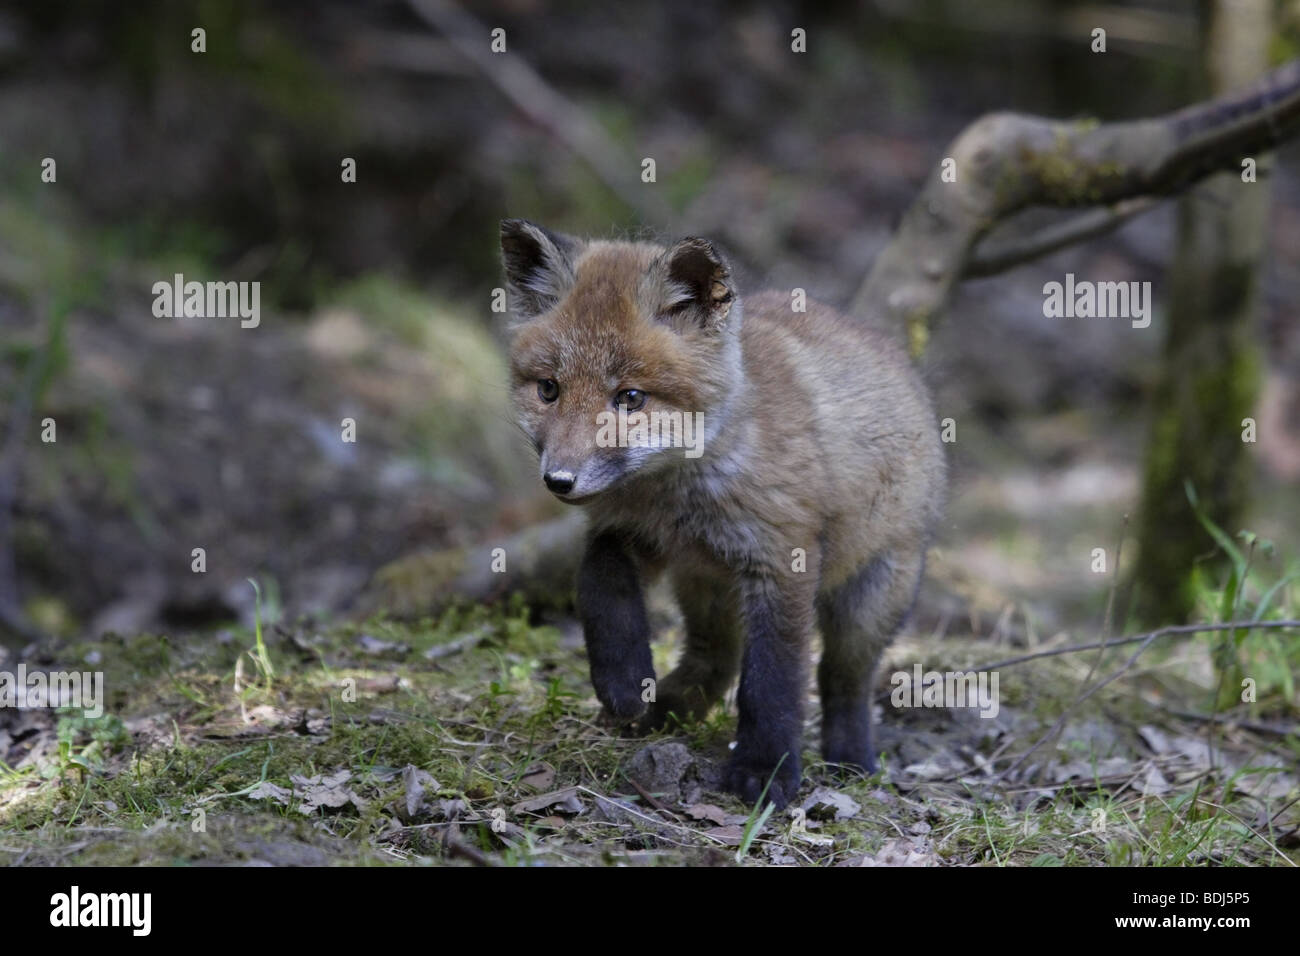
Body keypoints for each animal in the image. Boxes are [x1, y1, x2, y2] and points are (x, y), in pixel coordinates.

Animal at [499, 221, 946, 811]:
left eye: (630, 398)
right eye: (548, 389)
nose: (559, 480)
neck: (676, 493)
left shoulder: (781, 560)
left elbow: (772, 681)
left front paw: (764, 769)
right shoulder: (630, 532)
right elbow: (599, 585)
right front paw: (623, 680)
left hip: (870, 599)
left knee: (842, 678)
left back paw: (850, 756)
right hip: (705, 584)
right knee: (717, 656)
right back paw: (664, 710)